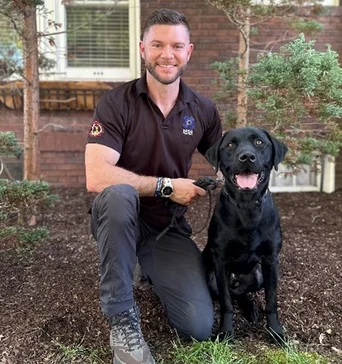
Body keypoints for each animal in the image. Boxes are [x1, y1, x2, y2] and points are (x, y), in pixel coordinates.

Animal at [203, 126, 288, 342]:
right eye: (230, 144)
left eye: (259, 142)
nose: (247, 156)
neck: (248, 206)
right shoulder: (220, 262)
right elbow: (226, 303)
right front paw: (225, 332)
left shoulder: (271, 260)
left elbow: (271, 300)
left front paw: (276, 332)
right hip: (212, 278)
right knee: (233, 294)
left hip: (257, 274)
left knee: (242, 293)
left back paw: (251, 310)